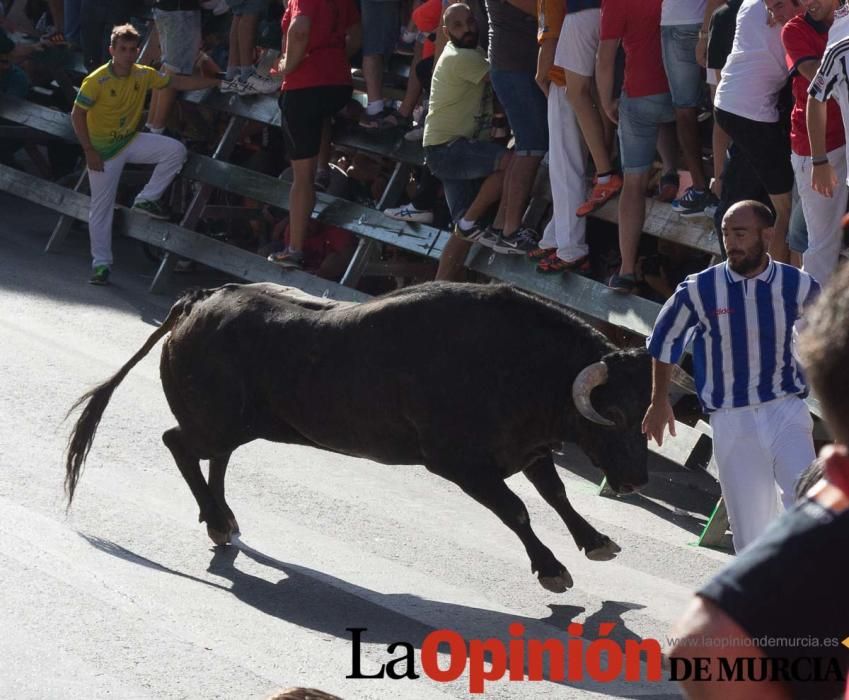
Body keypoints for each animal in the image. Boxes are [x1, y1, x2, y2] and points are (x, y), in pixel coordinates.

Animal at [68, 282, 656, 592]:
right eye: (616, 413)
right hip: (213, 420)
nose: (634, 480)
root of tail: (198, 301)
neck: (522, 367)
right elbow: (517, 510)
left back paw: (224, 521)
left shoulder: (528, 449)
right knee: (179, 444)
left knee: (215, 457)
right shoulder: (461, 464)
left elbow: (555, 494)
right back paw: (216, 519)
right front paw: (552, 569)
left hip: (234, 424)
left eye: (646, 413)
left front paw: (596, 542)